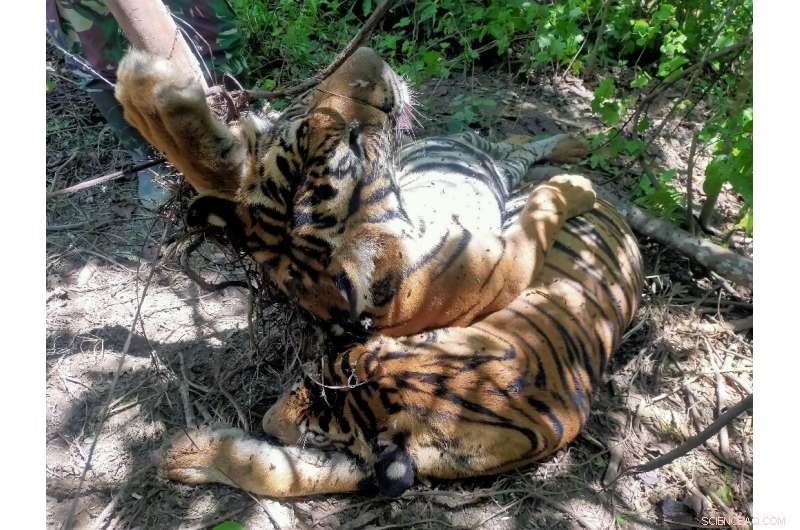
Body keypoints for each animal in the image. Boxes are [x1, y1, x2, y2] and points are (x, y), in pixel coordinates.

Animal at [115, 47, 597, 337]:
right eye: (355, 141)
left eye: (298, 114)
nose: (370, 56)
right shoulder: (513, 261)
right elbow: (543, 211)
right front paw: (574, 189)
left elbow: (215, 163)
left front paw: (151, 92)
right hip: (485, 159)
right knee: (515, 155)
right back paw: (572, 157)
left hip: (467, 145)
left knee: (512, 145)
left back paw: (574, 142)